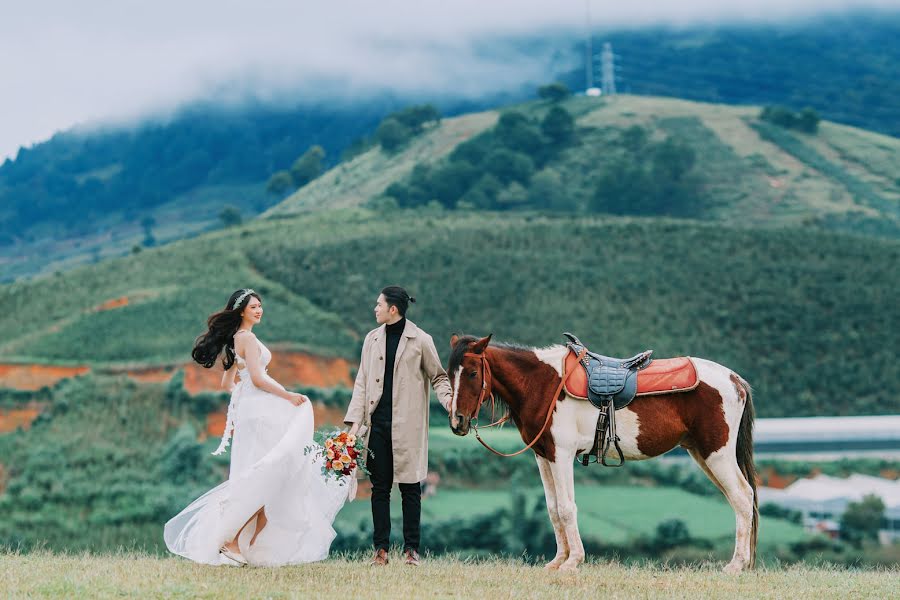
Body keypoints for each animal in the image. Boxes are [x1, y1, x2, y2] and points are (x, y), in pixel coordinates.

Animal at [446, 336, 756, 576]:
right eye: (449, 374)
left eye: (472, 373)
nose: (457, 421)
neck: (542, 384)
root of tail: (735, 380)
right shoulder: (544, 456)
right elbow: (553, 509)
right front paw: (558, 561)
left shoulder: (562, 454)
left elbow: (566, 508)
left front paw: (573, 562)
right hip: (702, 455)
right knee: (739, 499)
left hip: (717, 454)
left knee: (742, 497)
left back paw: (736, 565)